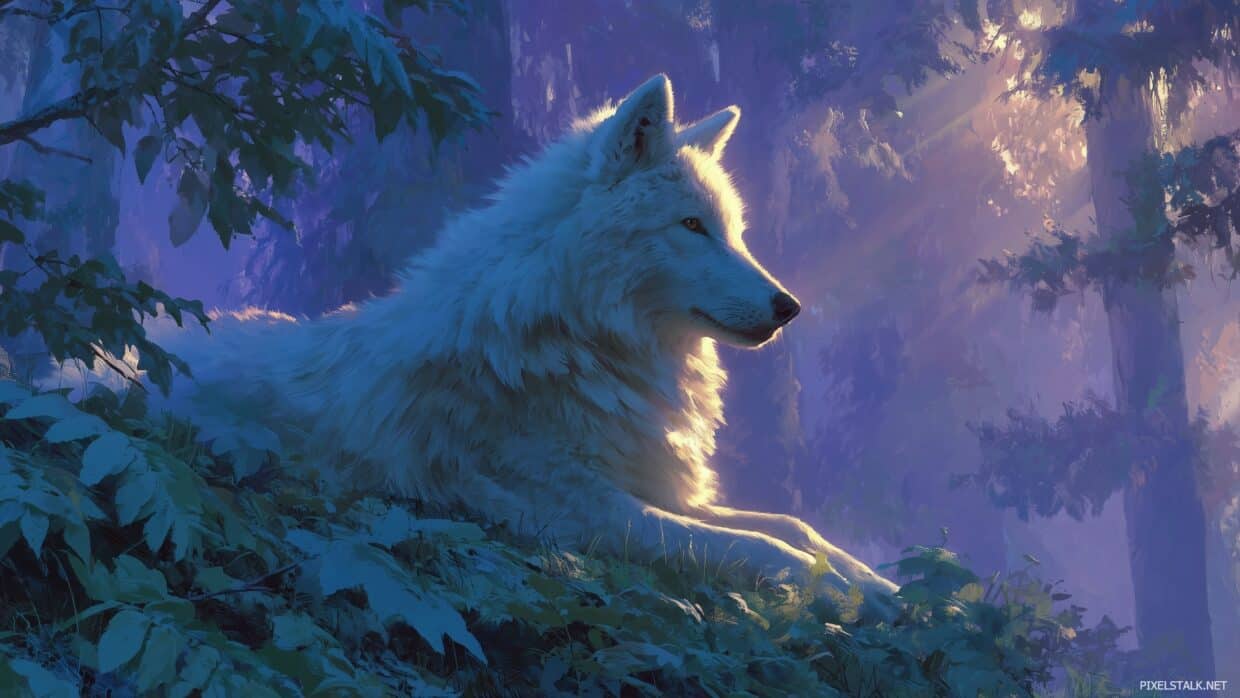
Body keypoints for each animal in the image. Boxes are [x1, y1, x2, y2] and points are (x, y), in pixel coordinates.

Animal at [138, 74, 897, 611]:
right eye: (691, 226)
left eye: (734, 230)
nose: (789, 307)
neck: (573, 337)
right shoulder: (582, 510)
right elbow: (762, 547)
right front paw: (851, 598)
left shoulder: (653, 481)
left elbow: (796, 529)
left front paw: (892, 591)